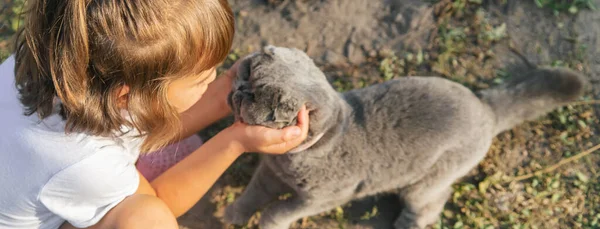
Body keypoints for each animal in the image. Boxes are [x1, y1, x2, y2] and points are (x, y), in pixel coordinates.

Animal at [224, 45, 584, 228]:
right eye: (246, 72)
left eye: (255, 95)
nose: (239, 89)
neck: (290, 161)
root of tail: (486, 107)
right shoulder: (268, 173)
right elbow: (252, 196)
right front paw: (234, 216)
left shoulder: (320, 199)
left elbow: (279, 210)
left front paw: (267, 223)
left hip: (423, 184)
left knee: (433, 202)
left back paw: (407, 225)